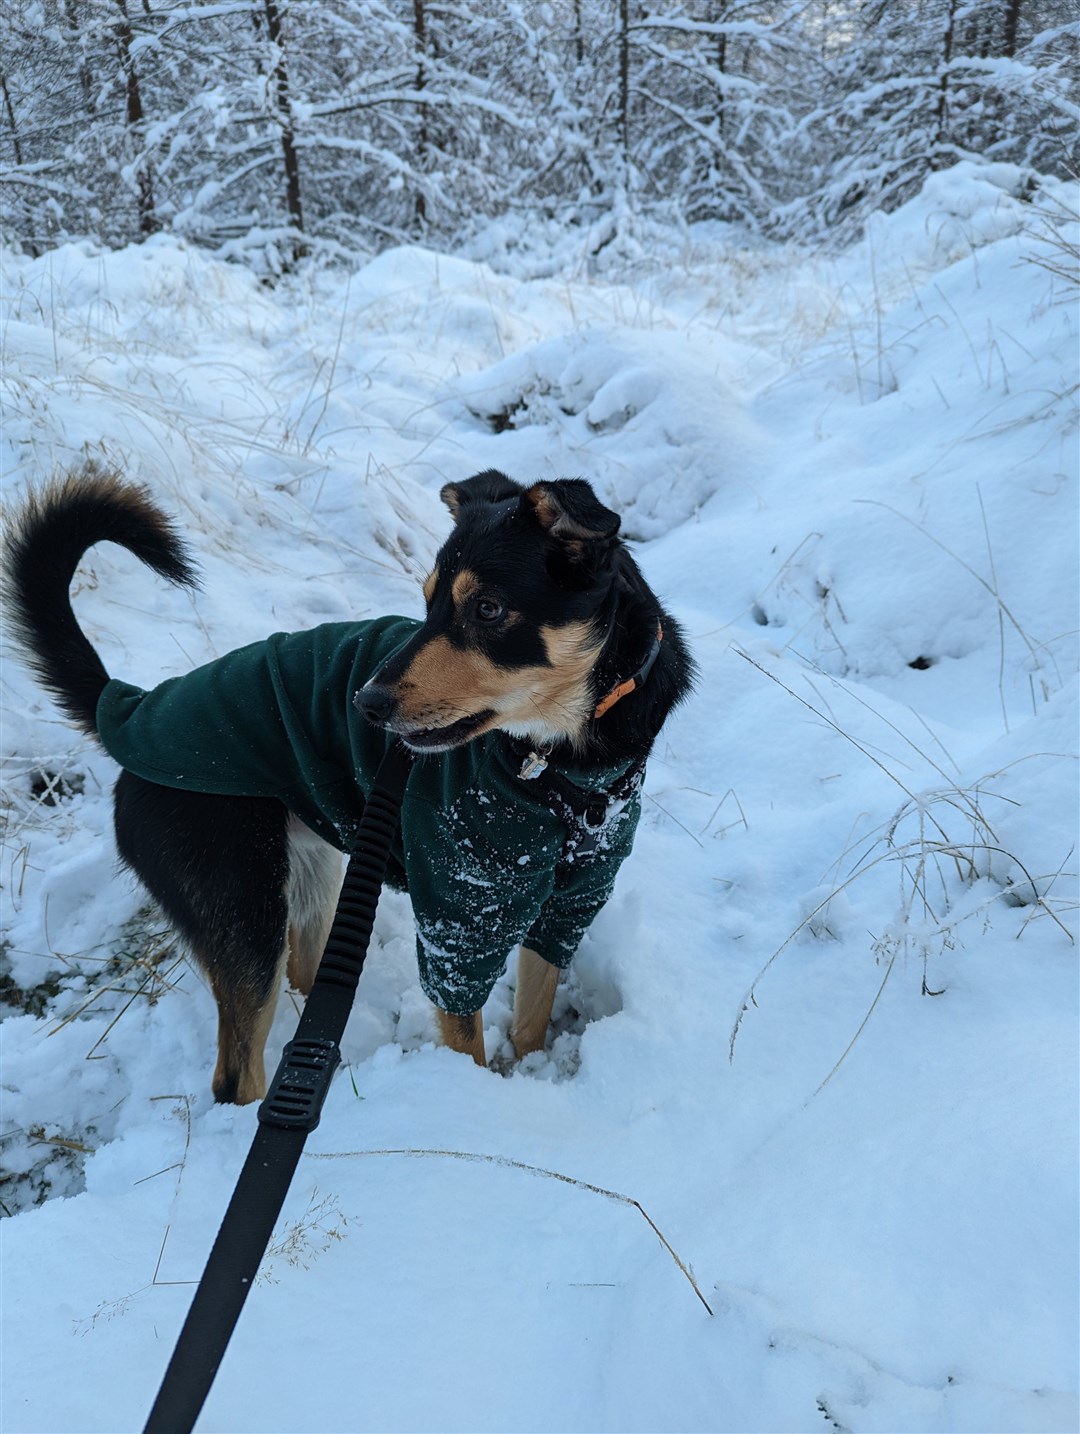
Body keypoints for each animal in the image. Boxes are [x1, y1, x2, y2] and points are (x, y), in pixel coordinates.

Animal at [4, 464, 694, 1101]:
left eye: (488, 608)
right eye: (427, 601)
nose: (365, 703)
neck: (566, 775)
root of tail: (130, 709)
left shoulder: (569, 906)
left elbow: (531, 1021)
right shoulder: (458, 922)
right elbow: (466, 1043)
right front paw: (472, 1103)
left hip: (312, 880)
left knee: (307, 983)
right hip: (245, 911)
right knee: (236, 1073)